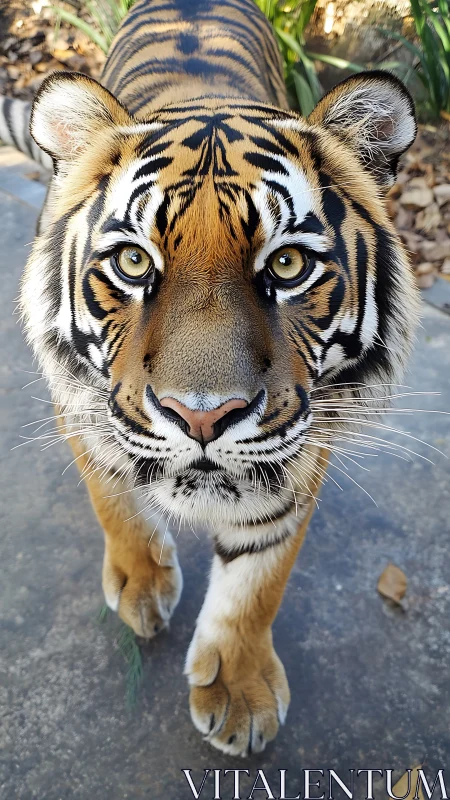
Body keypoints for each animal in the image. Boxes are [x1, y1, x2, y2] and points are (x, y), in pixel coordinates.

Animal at [1, 0, 419, 756]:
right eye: (134, 263)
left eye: (287, 265)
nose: (201, 416)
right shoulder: (80, 401)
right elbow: (113, 500)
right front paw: (140, 586)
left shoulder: (301, 444)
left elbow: (258, 579)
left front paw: (238, 690)